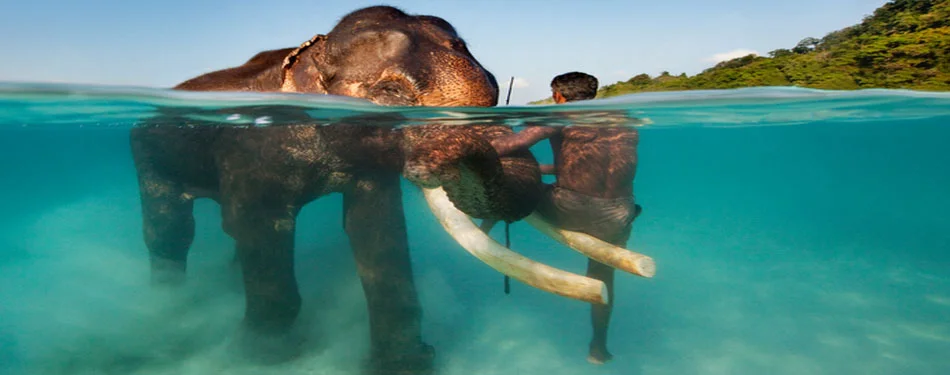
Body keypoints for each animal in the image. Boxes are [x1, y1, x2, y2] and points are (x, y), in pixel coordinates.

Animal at [132, 5, 624, 375]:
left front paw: (406, 364)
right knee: (171, 232)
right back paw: (169, 306)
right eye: (389, 97)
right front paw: (261, 357)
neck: (310, 53)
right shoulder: (251, 156)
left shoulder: (370, 173)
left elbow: (377, 229)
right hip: (148, 156)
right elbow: (257, 226)